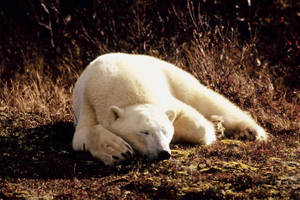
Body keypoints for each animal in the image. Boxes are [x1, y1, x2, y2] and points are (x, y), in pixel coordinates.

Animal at [71, 52, 268, 165]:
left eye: (165, 131)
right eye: (144, 132)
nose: (163, 153)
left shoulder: (163, 97)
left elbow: (195, 122)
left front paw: (213, 128)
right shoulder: (90, 101)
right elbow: (83, 134)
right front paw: (117, 150)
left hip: (173, 74)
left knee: (205, 98)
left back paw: (250, 131)